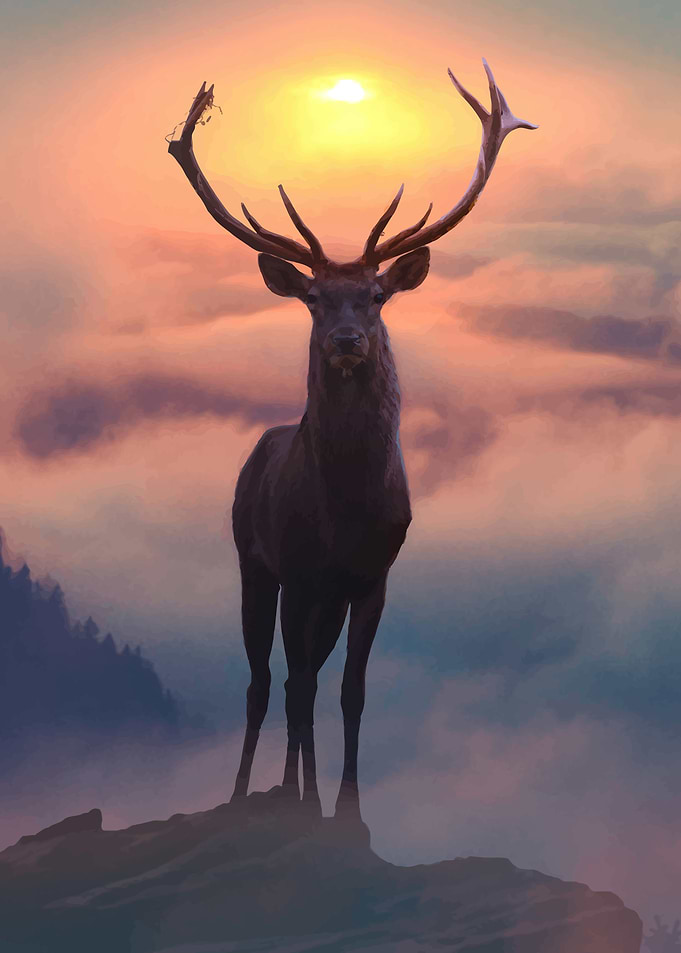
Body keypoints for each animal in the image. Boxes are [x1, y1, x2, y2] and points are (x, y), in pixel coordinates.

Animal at [168, 60, 536, 820]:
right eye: (313, 299)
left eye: (376, 295)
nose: (345, 341)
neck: (346, 509)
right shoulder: (301, 568)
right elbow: (299, 686)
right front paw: (304, 799)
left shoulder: (372, 575)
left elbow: (350, 691)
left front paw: (346, 803)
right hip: (252, 560)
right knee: (264, 682)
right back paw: (251, 788)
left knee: (297, 679)